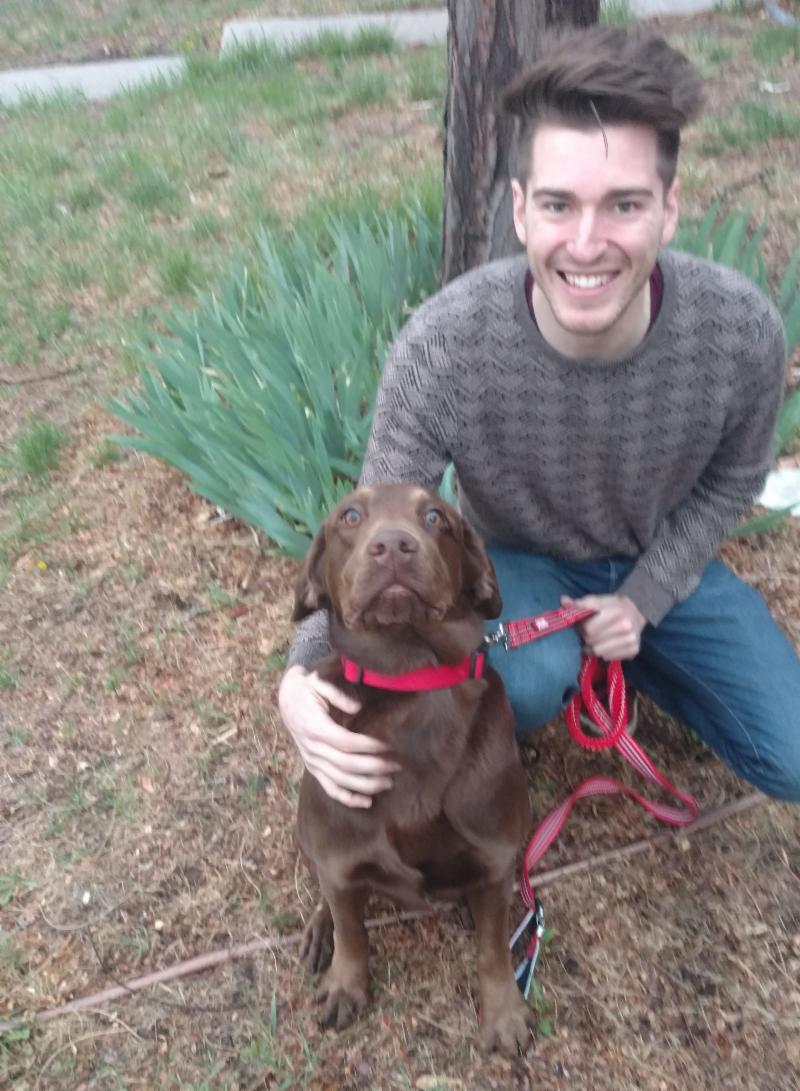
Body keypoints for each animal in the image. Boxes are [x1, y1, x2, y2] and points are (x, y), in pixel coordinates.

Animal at [292, 482, 533, 1052]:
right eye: (349, 516)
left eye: (436, 517)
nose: (394, 547)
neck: (409, 677)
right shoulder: (341, 855)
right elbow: (353, 931)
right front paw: (346, 984)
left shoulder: (495, 859)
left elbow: (494, 948)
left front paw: (504, 1011)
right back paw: (319, 932)